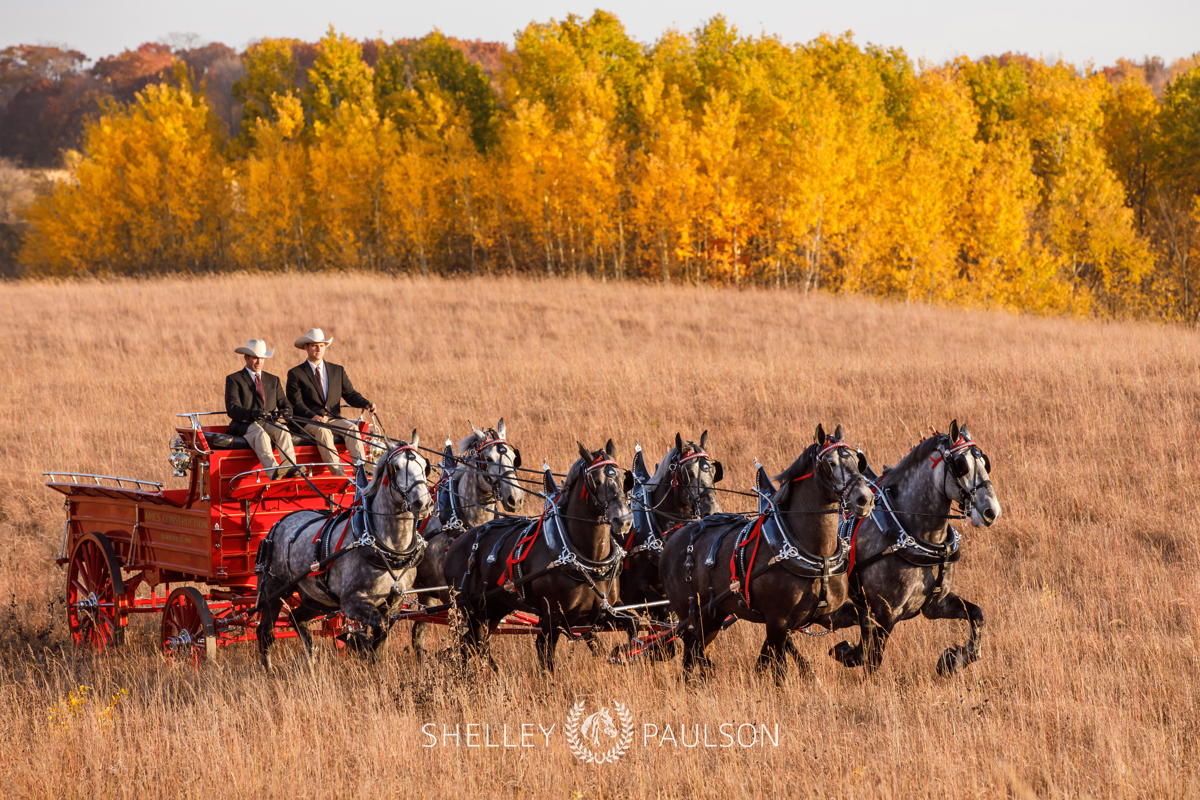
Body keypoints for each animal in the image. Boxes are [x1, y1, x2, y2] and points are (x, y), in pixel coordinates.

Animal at [255, 434, 434, 666]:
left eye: (424, 465)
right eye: (396, 467)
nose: (423, 503)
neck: (388, 549)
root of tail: (277, 524)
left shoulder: (394, 603)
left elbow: (380, 640)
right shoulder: (351, 602)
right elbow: (378, 631)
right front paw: (361, 647)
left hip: (318, 599)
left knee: (296, 617)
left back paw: (311, 658)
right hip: (273, 591)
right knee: (266, 632)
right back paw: (268, 669)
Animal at [410, 422, 523, 662]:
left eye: (513, 457)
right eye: (488, 459)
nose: (516, 498)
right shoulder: (453, 596)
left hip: (426, 594)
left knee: (419, 631)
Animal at [444, 441, 633, 671]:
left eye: (624, 479)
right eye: (596, 481)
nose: (623, 519)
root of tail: (456, 544)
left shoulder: (602, 612)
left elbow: (634, 624)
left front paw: (623, 652)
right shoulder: (551, 619)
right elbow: (546, 660)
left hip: (493, 608)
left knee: (475, 643)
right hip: (470, 609)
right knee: (469, 645)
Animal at [662, 429, 878, 686]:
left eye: (857, 461)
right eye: (830, 463)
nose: (864, 499)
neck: (814, 553)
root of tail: (673, 536)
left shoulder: (826, 613)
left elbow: (866, 619)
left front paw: (851, 653)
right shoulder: (777, 621)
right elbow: (779, 670)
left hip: (714, 614)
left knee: (695, 649)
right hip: (691, 614)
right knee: (691, 648)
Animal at [830, 422, 998, 681]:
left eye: (985, 462)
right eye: (961, 465)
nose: (992, 511)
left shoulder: (936, 604)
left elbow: (976, 615)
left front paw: (953, 660)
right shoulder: (885, 613)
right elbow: (870, 658)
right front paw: (846, 653)